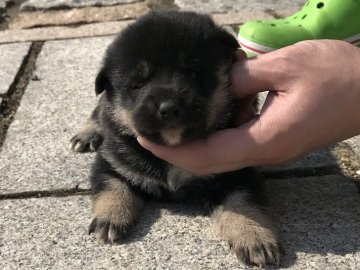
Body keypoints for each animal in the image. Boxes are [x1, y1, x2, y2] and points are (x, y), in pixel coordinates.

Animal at [69, 10, 278, 266]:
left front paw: (254, 236)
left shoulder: (238, 171)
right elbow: (112, 186)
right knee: (98, 109)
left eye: (194, 73)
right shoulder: (111, 160)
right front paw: (111, 217)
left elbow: (244, 202)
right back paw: (87, 133)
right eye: (136, 84)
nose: (168, 107)